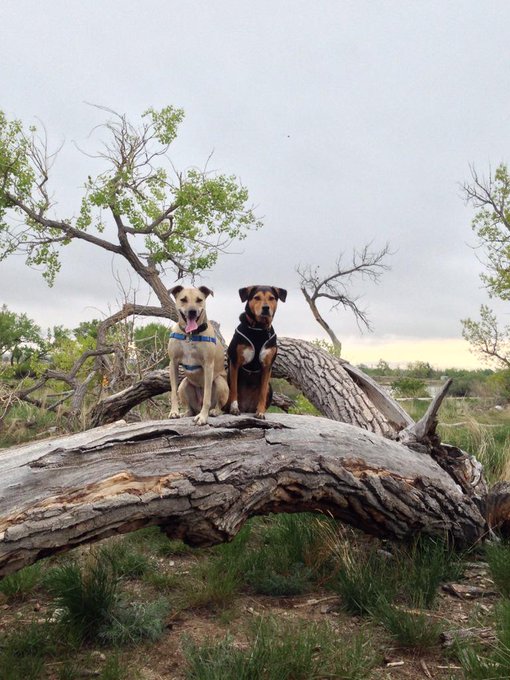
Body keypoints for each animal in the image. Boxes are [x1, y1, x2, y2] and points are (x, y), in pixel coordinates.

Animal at [227, 284, 286, 418]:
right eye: (256, 297)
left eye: (272, 298)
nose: (266, 308)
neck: (259, 328)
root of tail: (246, 407)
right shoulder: (235, 362)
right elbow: (234, 388)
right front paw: (234, 409)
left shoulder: (267, 365)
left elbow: (262, 392)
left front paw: (260, 412)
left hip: (270, 387)